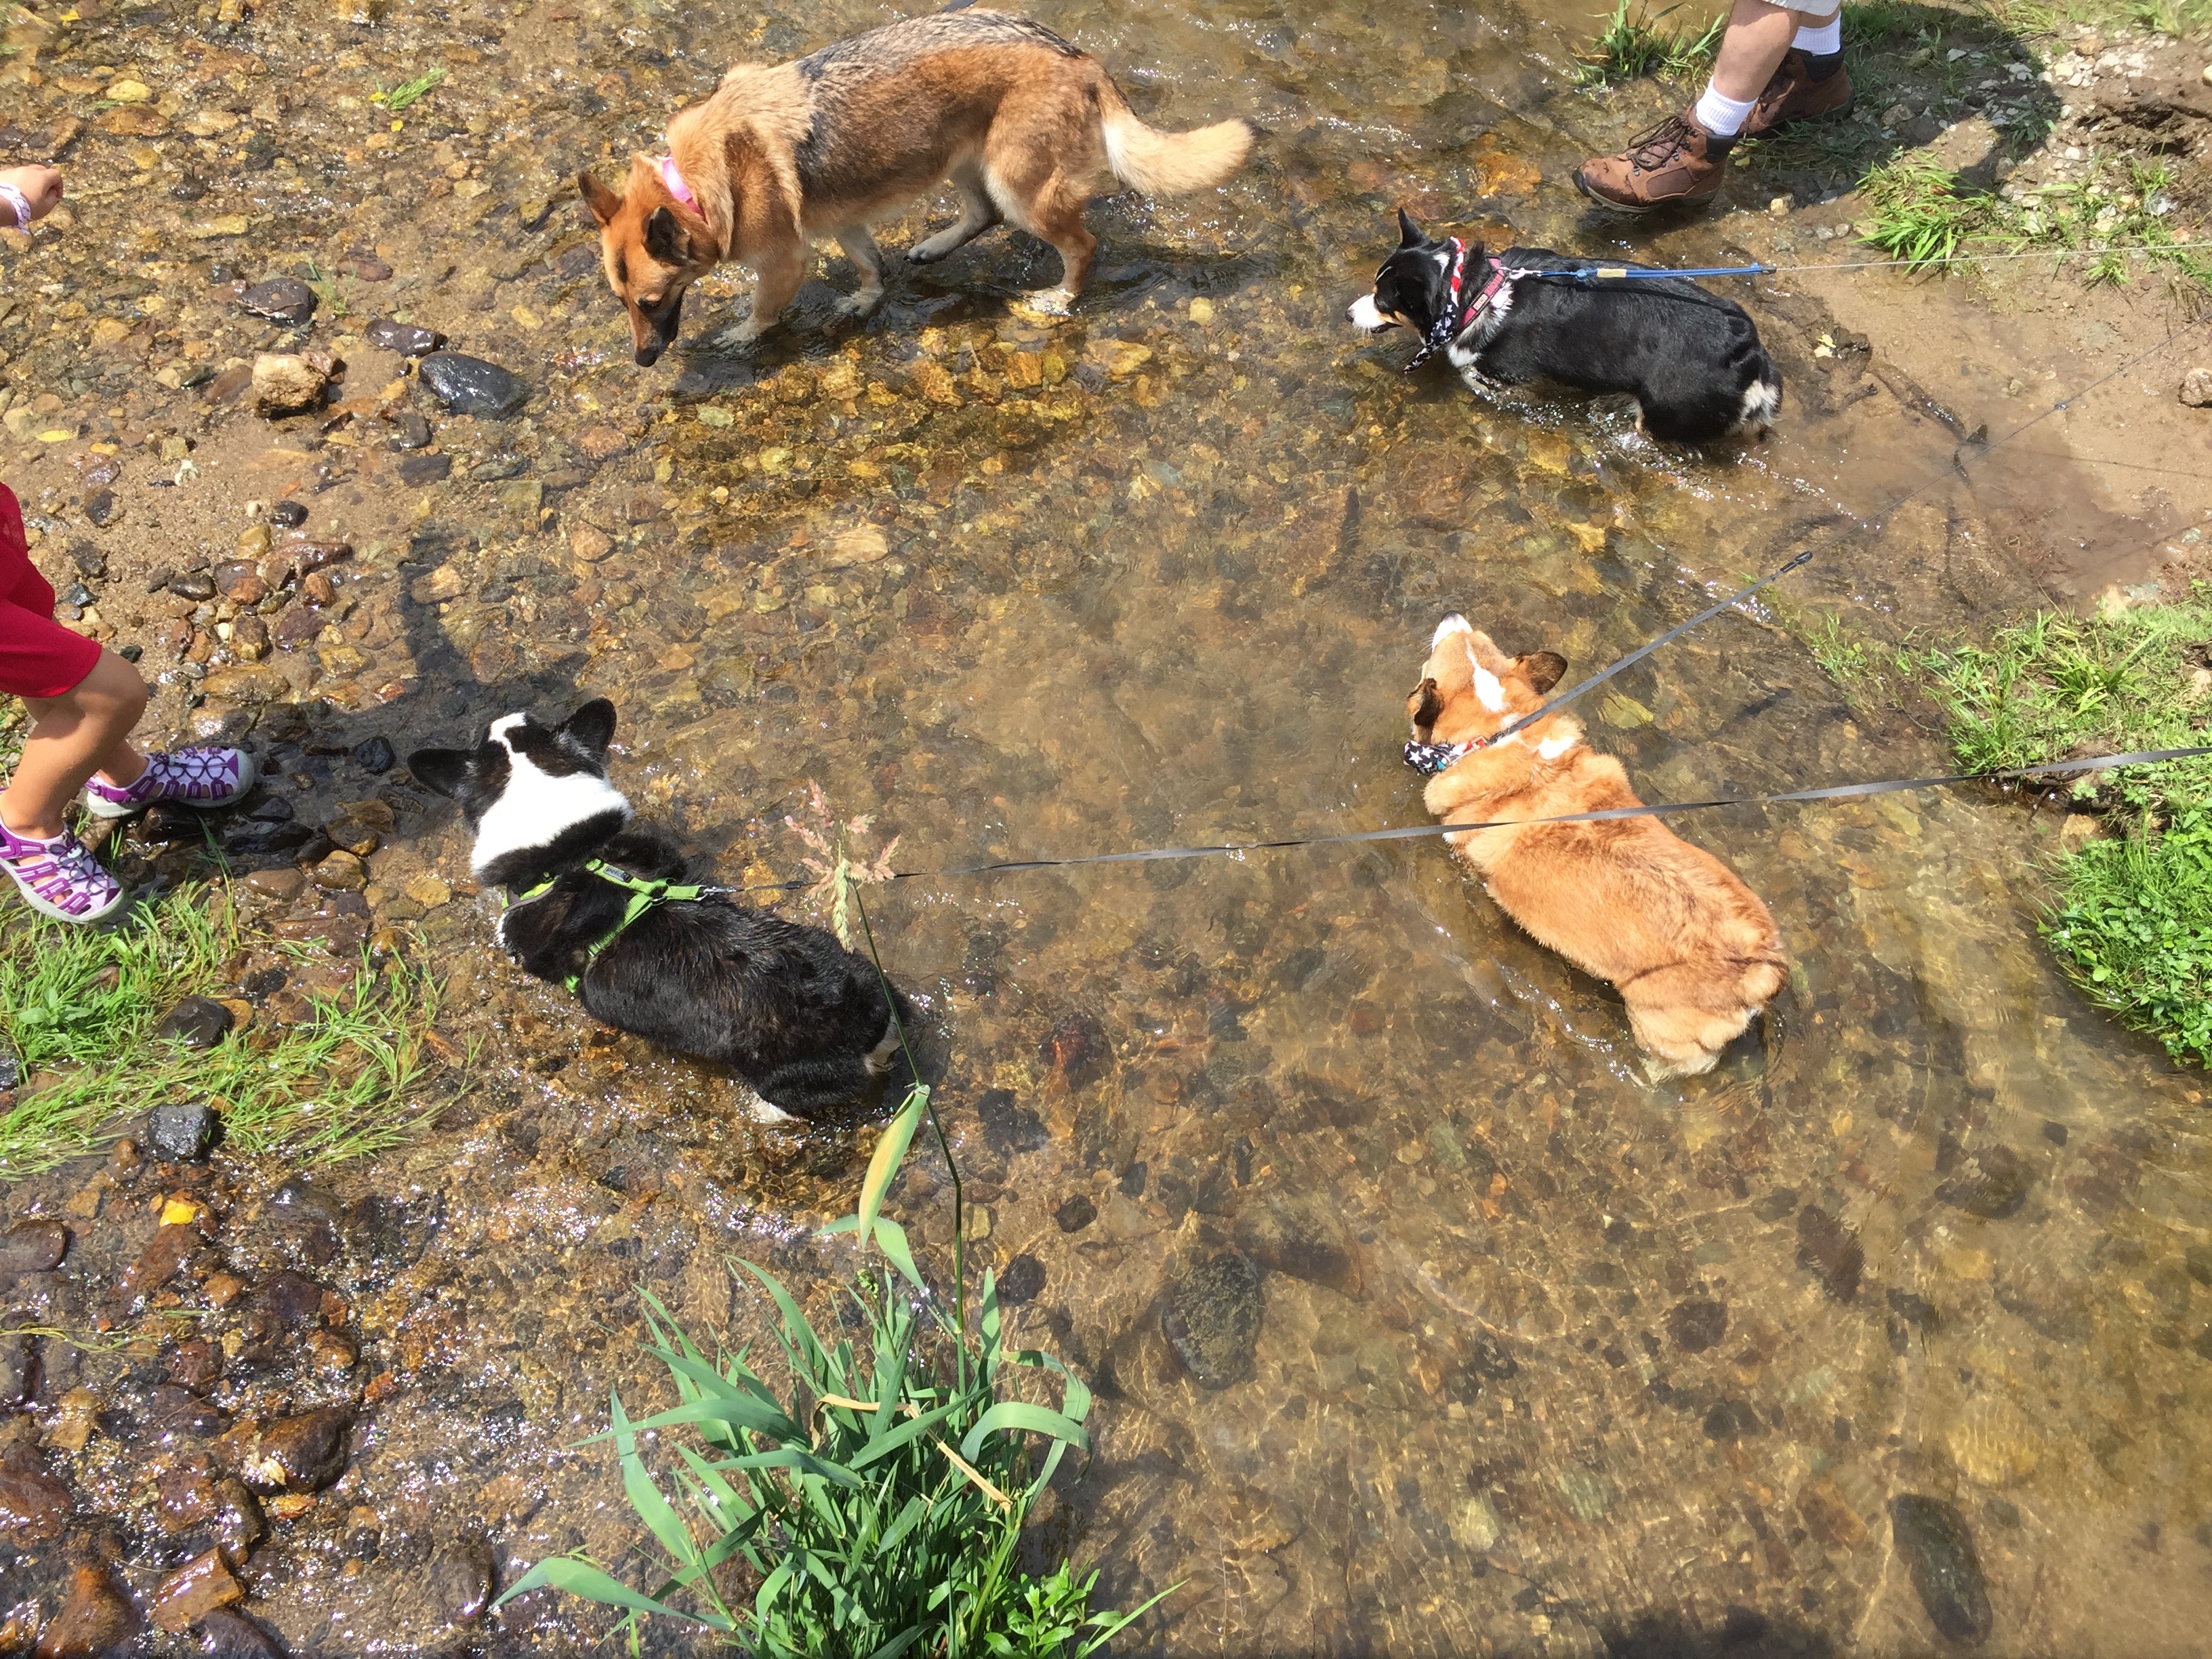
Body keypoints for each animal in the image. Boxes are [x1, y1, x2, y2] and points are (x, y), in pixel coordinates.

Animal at [578, 8, 1255, 364]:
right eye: (621, 303)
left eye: (649, 303)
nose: (641, 361)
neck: (691, 186)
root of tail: (1078, 57)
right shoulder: (844, 222)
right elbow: (869, 265)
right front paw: (867, 298)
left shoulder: (784, 260)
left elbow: (766, 308)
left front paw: (746, 334)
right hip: (960, 161)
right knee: (982, 215)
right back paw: (934, 246)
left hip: (1018, 184)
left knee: (1081, 246)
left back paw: (1060, 299)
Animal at [1349, 210, 1781, 444]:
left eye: (1383, 302)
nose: (1348, 314)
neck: (1473, 294)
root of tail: (1750, 350)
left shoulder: (1505, 373)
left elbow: (1472, 373)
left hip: (1665, 413)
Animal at [1406, 617, 1786, 1078]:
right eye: (1480, 638)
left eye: (1437, 652)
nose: (1451, 614)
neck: (1501, 733)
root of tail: (1760, 970)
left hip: (1662, 1036)